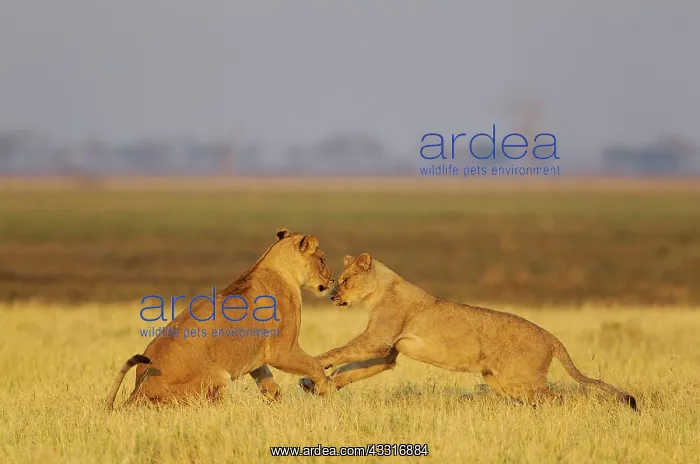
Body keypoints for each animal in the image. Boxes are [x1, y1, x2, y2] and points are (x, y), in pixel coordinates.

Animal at [105, 228, 335, 410]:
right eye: (323, 259)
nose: (332, 280)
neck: (283, 271)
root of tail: (140, 389)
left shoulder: (258, 357)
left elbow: (269, 384)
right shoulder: (283, 351)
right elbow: (315, 366)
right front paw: (327, 392)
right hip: (219, 375)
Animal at [300, 253, 637, 411]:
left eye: (344, 280)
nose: (332, 297)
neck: (382, 289)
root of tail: (550, 336)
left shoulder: (378, 340)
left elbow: (340, 352)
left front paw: (313, 367)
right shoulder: (387, 352)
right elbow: (352, 370)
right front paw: (318, 386)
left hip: (521, 379)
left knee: (559, 399)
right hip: (503, 381)